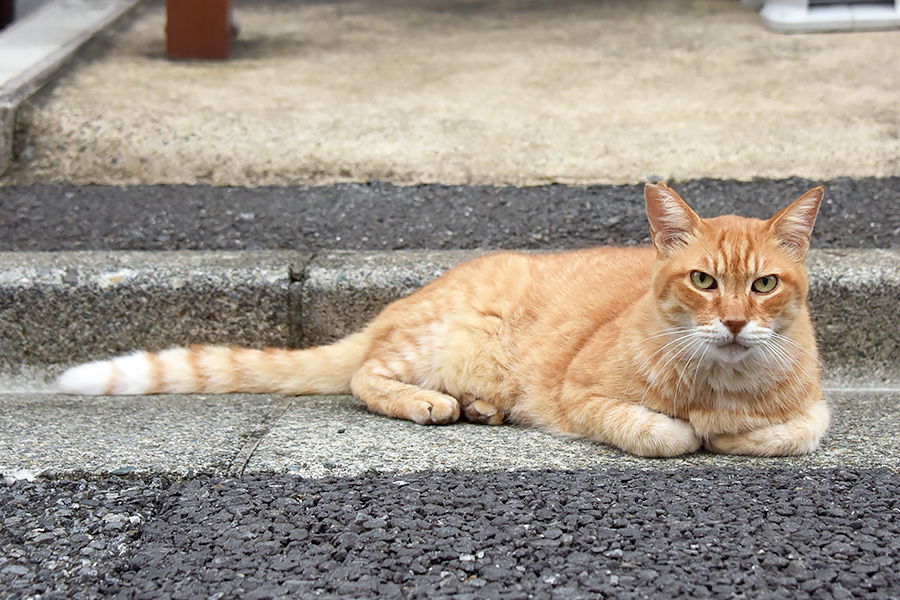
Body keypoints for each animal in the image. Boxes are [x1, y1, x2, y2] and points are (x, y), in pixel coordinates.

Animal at [56, 185, 828, 458]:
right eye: (703, 282)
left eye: (763, 285)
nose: (735, 323)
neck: (721, 379)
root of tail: (402, 301)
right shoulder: (579, 397)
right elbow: (661, 433)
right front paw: (694, 429)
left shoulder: (813, 413)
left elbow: (784, 435)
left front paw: (727, 429)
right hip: (442, 339)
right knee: (365, 378)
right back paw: (433, 403)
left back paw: (482, 408)